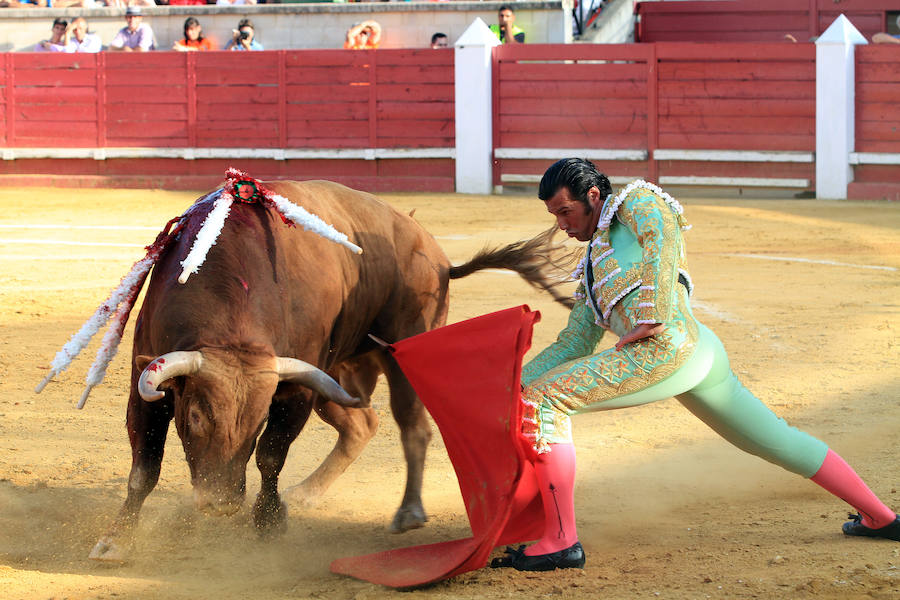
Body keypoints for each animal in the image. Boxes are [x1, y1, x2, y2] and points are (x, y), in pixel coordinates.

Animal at [86, 179, 568, 564]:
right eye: (195, 418)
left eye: (257, 421)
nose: (221, 503)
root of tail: (437, 255)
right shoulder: (148, 382)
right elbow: (143, 469)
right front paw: (116, 540)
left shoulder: (292, 391)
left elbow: (270, 455)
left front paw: (268, 522)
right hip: (337, 377)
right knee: (362, 423)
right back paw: (307, 493)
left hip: (401, 352)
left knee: (412, 426)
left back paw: (407, 512)